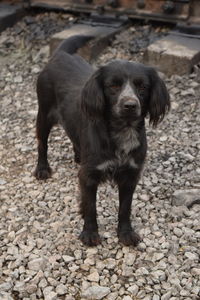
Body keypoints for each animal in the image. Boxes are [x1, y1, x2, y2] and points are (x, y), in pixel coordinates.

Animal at [34, 34, 170, 246]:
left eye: (142, 86)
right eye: (113, 85)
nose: (130, 105)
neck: (122, 131)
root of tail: (61, 55)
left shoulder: (130, 175)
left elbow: (125, 209)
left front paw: (126, 233)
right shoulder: (88, 176)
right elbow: (90, 207)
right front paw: (90, 233)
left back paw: (78, 156)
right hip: (44, 114)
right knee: (42, 143)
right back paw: (42, 169)